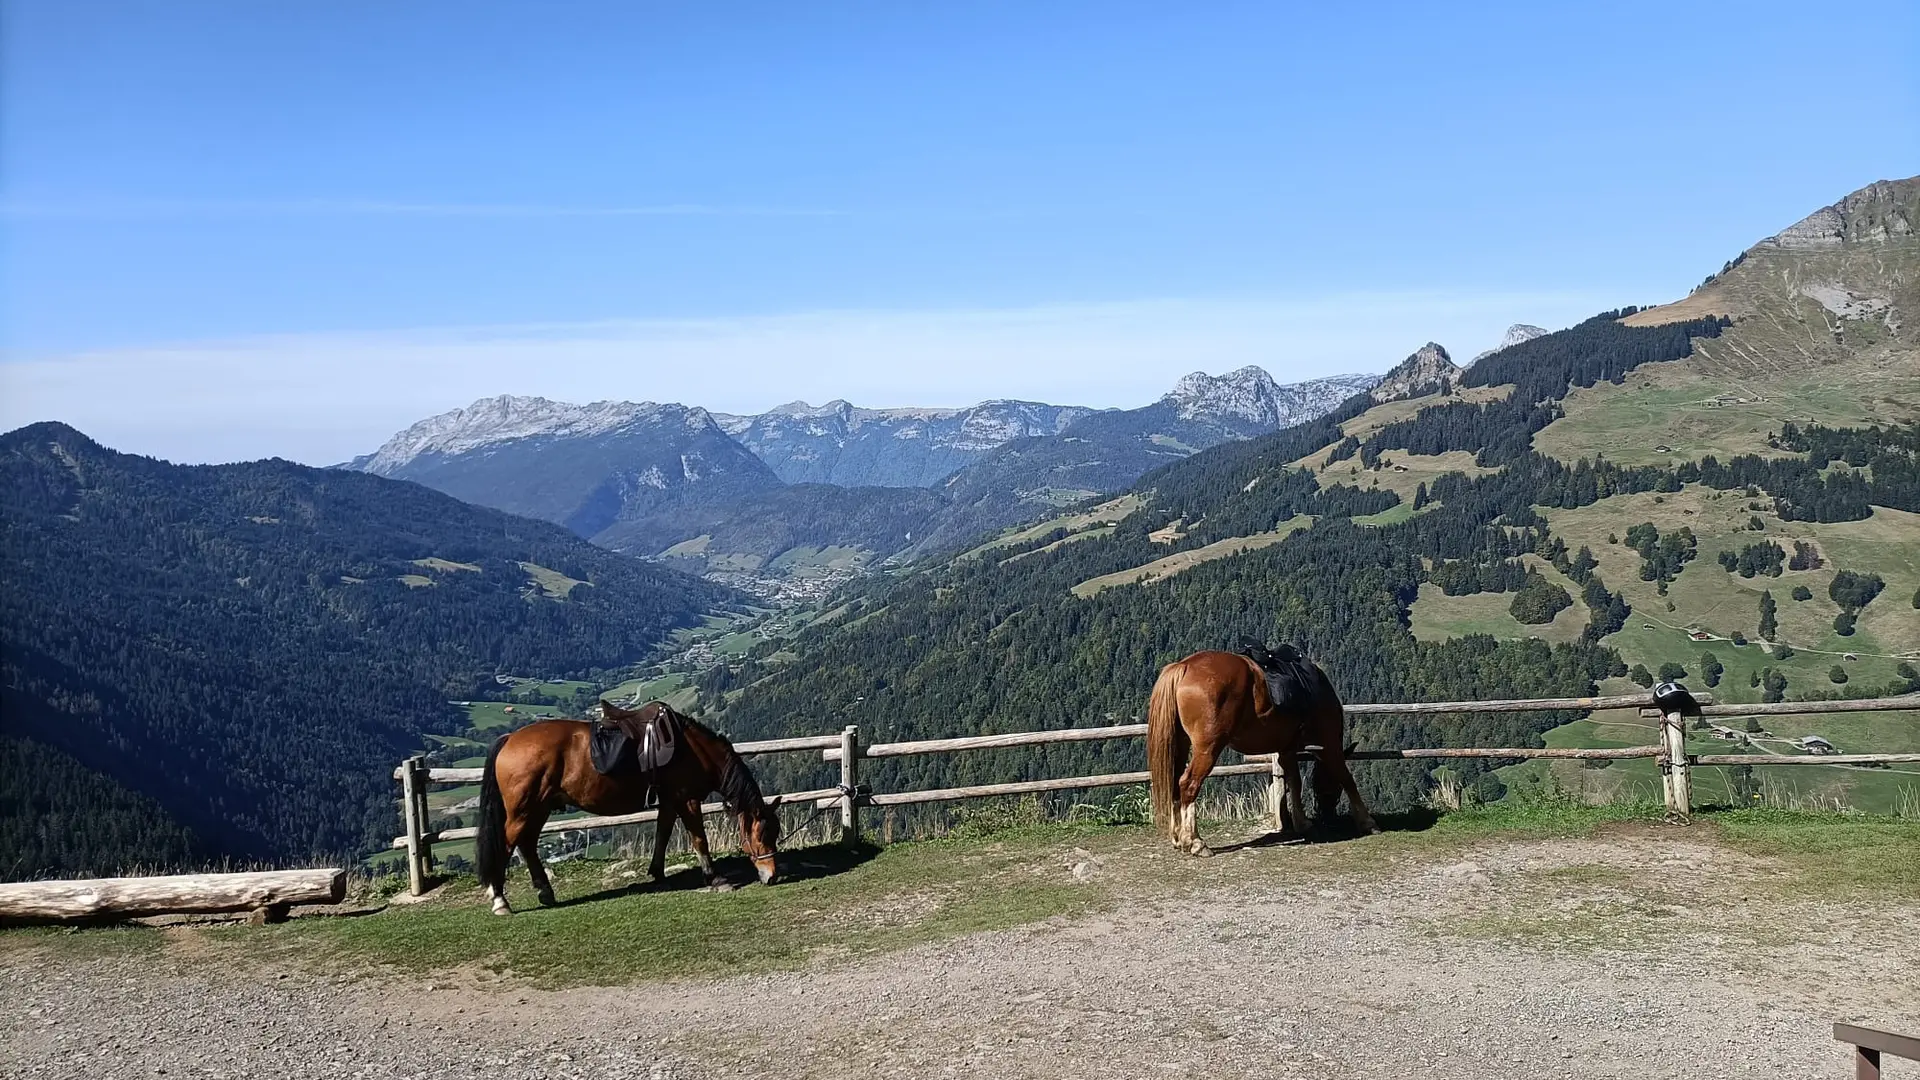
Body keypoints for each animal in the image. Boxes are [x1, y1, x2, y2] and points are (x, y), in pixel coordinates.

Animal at [473, 700, 782, 915]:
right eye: (761, 835)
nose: (771, 876)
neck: (693, 748)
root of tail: (510, 740)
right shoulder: (687, 799)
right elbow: (699, 839)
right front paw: (715, 878)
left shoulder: (669, 800)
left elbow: (662, 834)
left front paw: (657, 873)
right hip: (523, 810)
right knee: (507, 844)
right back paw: (500, 900)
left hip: (539, 807)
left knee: (527, 844)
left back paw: (545, 892)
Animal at [1146, 647, 1378, 856]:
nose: (1326, 813)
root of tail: (1184, 666)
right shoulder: (1329, 745)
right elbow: (1346, 778)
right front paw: (1367, 822)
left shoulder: (1286, 750)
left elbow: (1295, 782)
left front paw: (1302, 823)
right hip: (1207, 748)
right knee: (1189, 784)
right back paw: (1195, 842)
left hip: (1181, 743)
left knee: (1175, 782)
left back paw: (1178, 838)